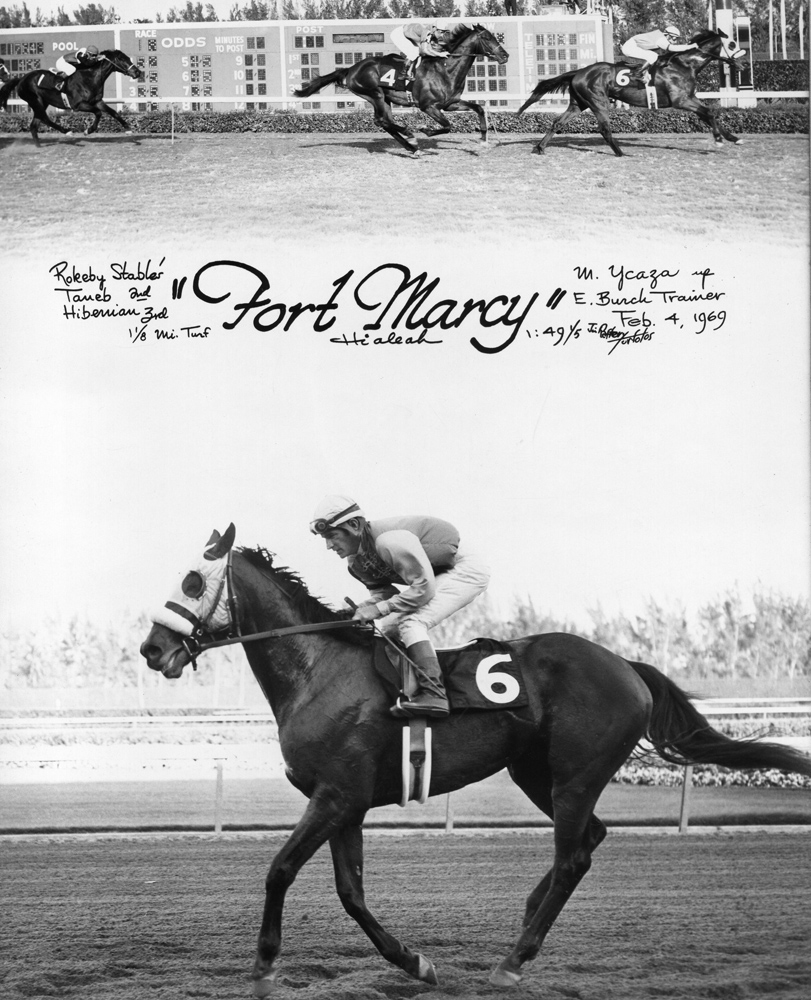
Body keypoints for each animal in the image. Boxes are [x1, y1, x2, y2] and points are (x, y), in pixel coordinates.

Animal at [0, 48, 143, 143]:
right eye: (122, 59)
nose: (137, 72)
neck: (89, 77)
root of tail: (22, 78)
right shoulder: (79, 105)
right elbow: (98, 113)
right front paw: (88, 130)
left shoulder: (97, 101)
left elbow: (113, 112)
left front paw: (128, 129)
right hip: (35, 101)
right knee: (44, 118)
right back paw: (67, 131)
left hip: (42, 102)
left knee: (35, 123)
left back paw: (38, 145)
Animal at [140, 524, 811, 992]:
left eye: (192, 580)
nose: (152, 648)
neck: (316, 669)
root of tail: (625, 665)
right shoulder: (346, 803)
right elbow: (351, 892)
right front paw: (415, 963)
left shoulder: (335, 796)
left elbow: (280, 870)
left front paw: (263, 967)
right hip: (535, 771)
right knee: (586, 841)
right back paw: (526, 920)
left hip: (573, 774)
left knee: (574, 855)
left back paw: (515, 959)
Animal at [292, 23, 508, 154]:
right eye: (487, 38)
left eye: (494, 36)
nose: (505, 56)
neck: (446, 69)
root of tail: (351, 68)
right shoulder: (428, 106)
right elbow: (447, 126)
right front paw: (425, 130)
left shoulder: (450, 103)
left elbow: (479, 108)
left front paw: (483, 139)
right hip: (374, 93)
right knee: (381, 121)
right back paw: (410, 136)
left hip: (384, 98)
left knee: (385, 122)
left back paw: (411, 147)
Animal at [520, 29, 748, 156]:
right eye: (732, 43)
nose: (744, 63)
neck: (684, 65)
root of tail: (579, 72)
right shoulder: (681, 100)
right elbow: (708, 113)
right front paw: (718, 139)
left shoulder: (690, 97)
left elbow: (710, 113)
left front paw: (733, 138)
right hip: (598, 101)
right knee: (604, 129)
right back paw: (621, 153)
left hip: (579, 103)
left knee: (558, 123)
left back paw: (540, 148)